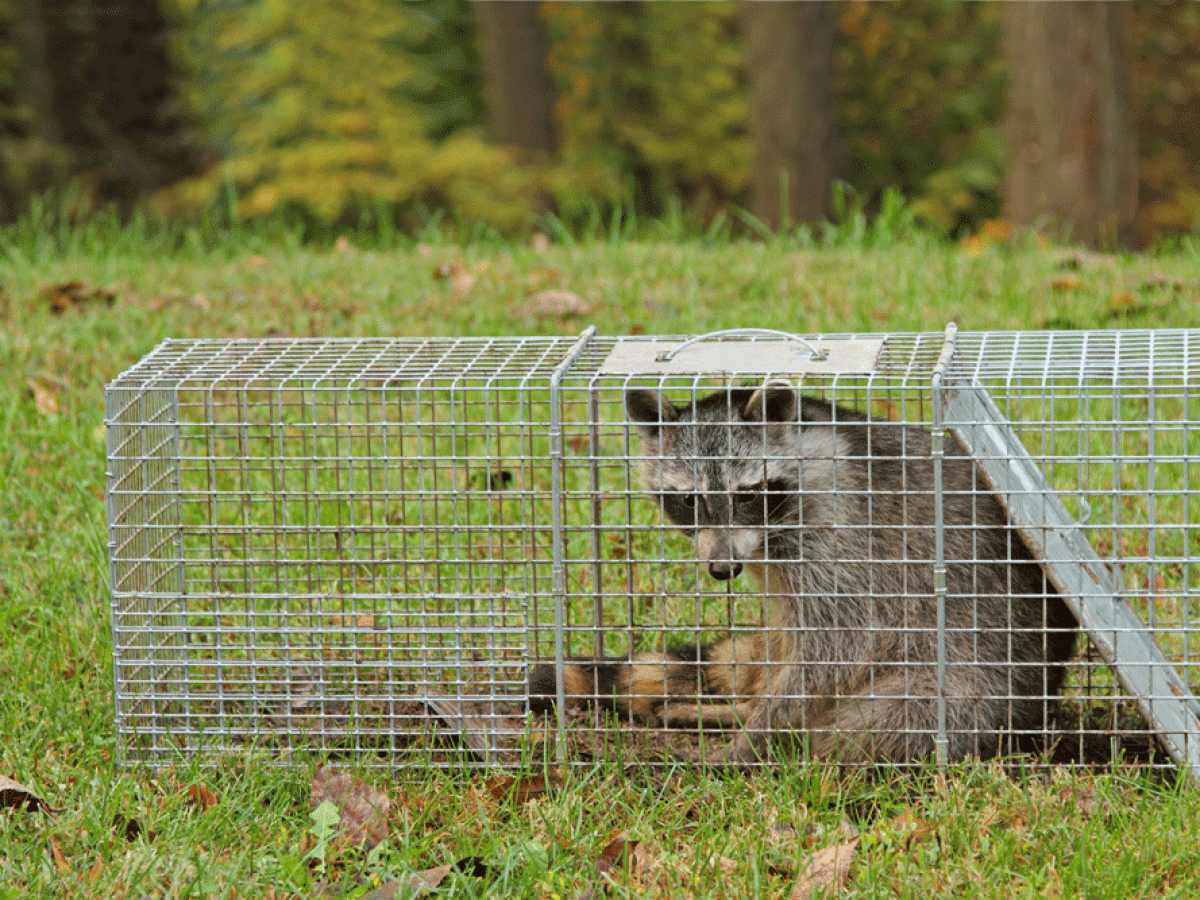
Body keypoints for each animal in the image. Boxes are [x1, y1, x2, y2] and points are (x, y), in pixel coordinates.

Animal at [530, 386, 1084, 768]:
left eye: (748, 494)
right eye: (688, 499)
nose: (722, 569)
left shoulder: (841, 539)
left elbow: (835, 649)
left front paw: (754, 739)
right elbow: (788, 643)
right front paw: (747, 714)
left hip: (977, 687)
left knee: (873, 726)